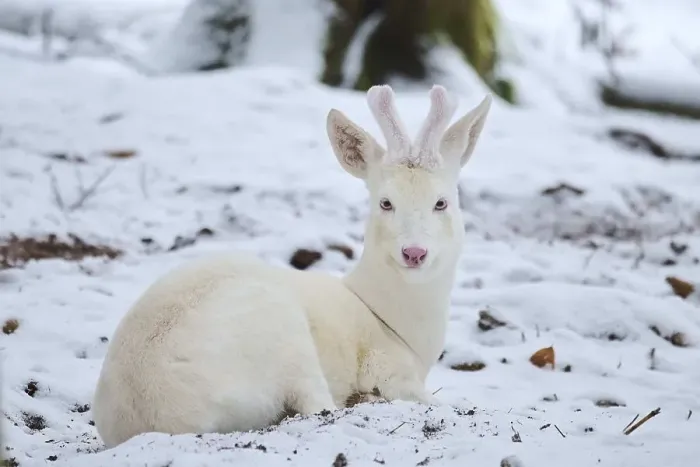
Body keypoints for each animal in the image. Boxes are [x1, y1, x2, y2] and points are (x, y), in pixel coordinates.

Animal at [92, 84, 492, 448]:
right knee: (316, 404)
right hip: (284, 338)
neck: (387, 318)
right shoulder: (388, 367)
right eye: (385, 202)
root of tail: (154, 415)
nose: (414, 253)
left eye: (442, 202)